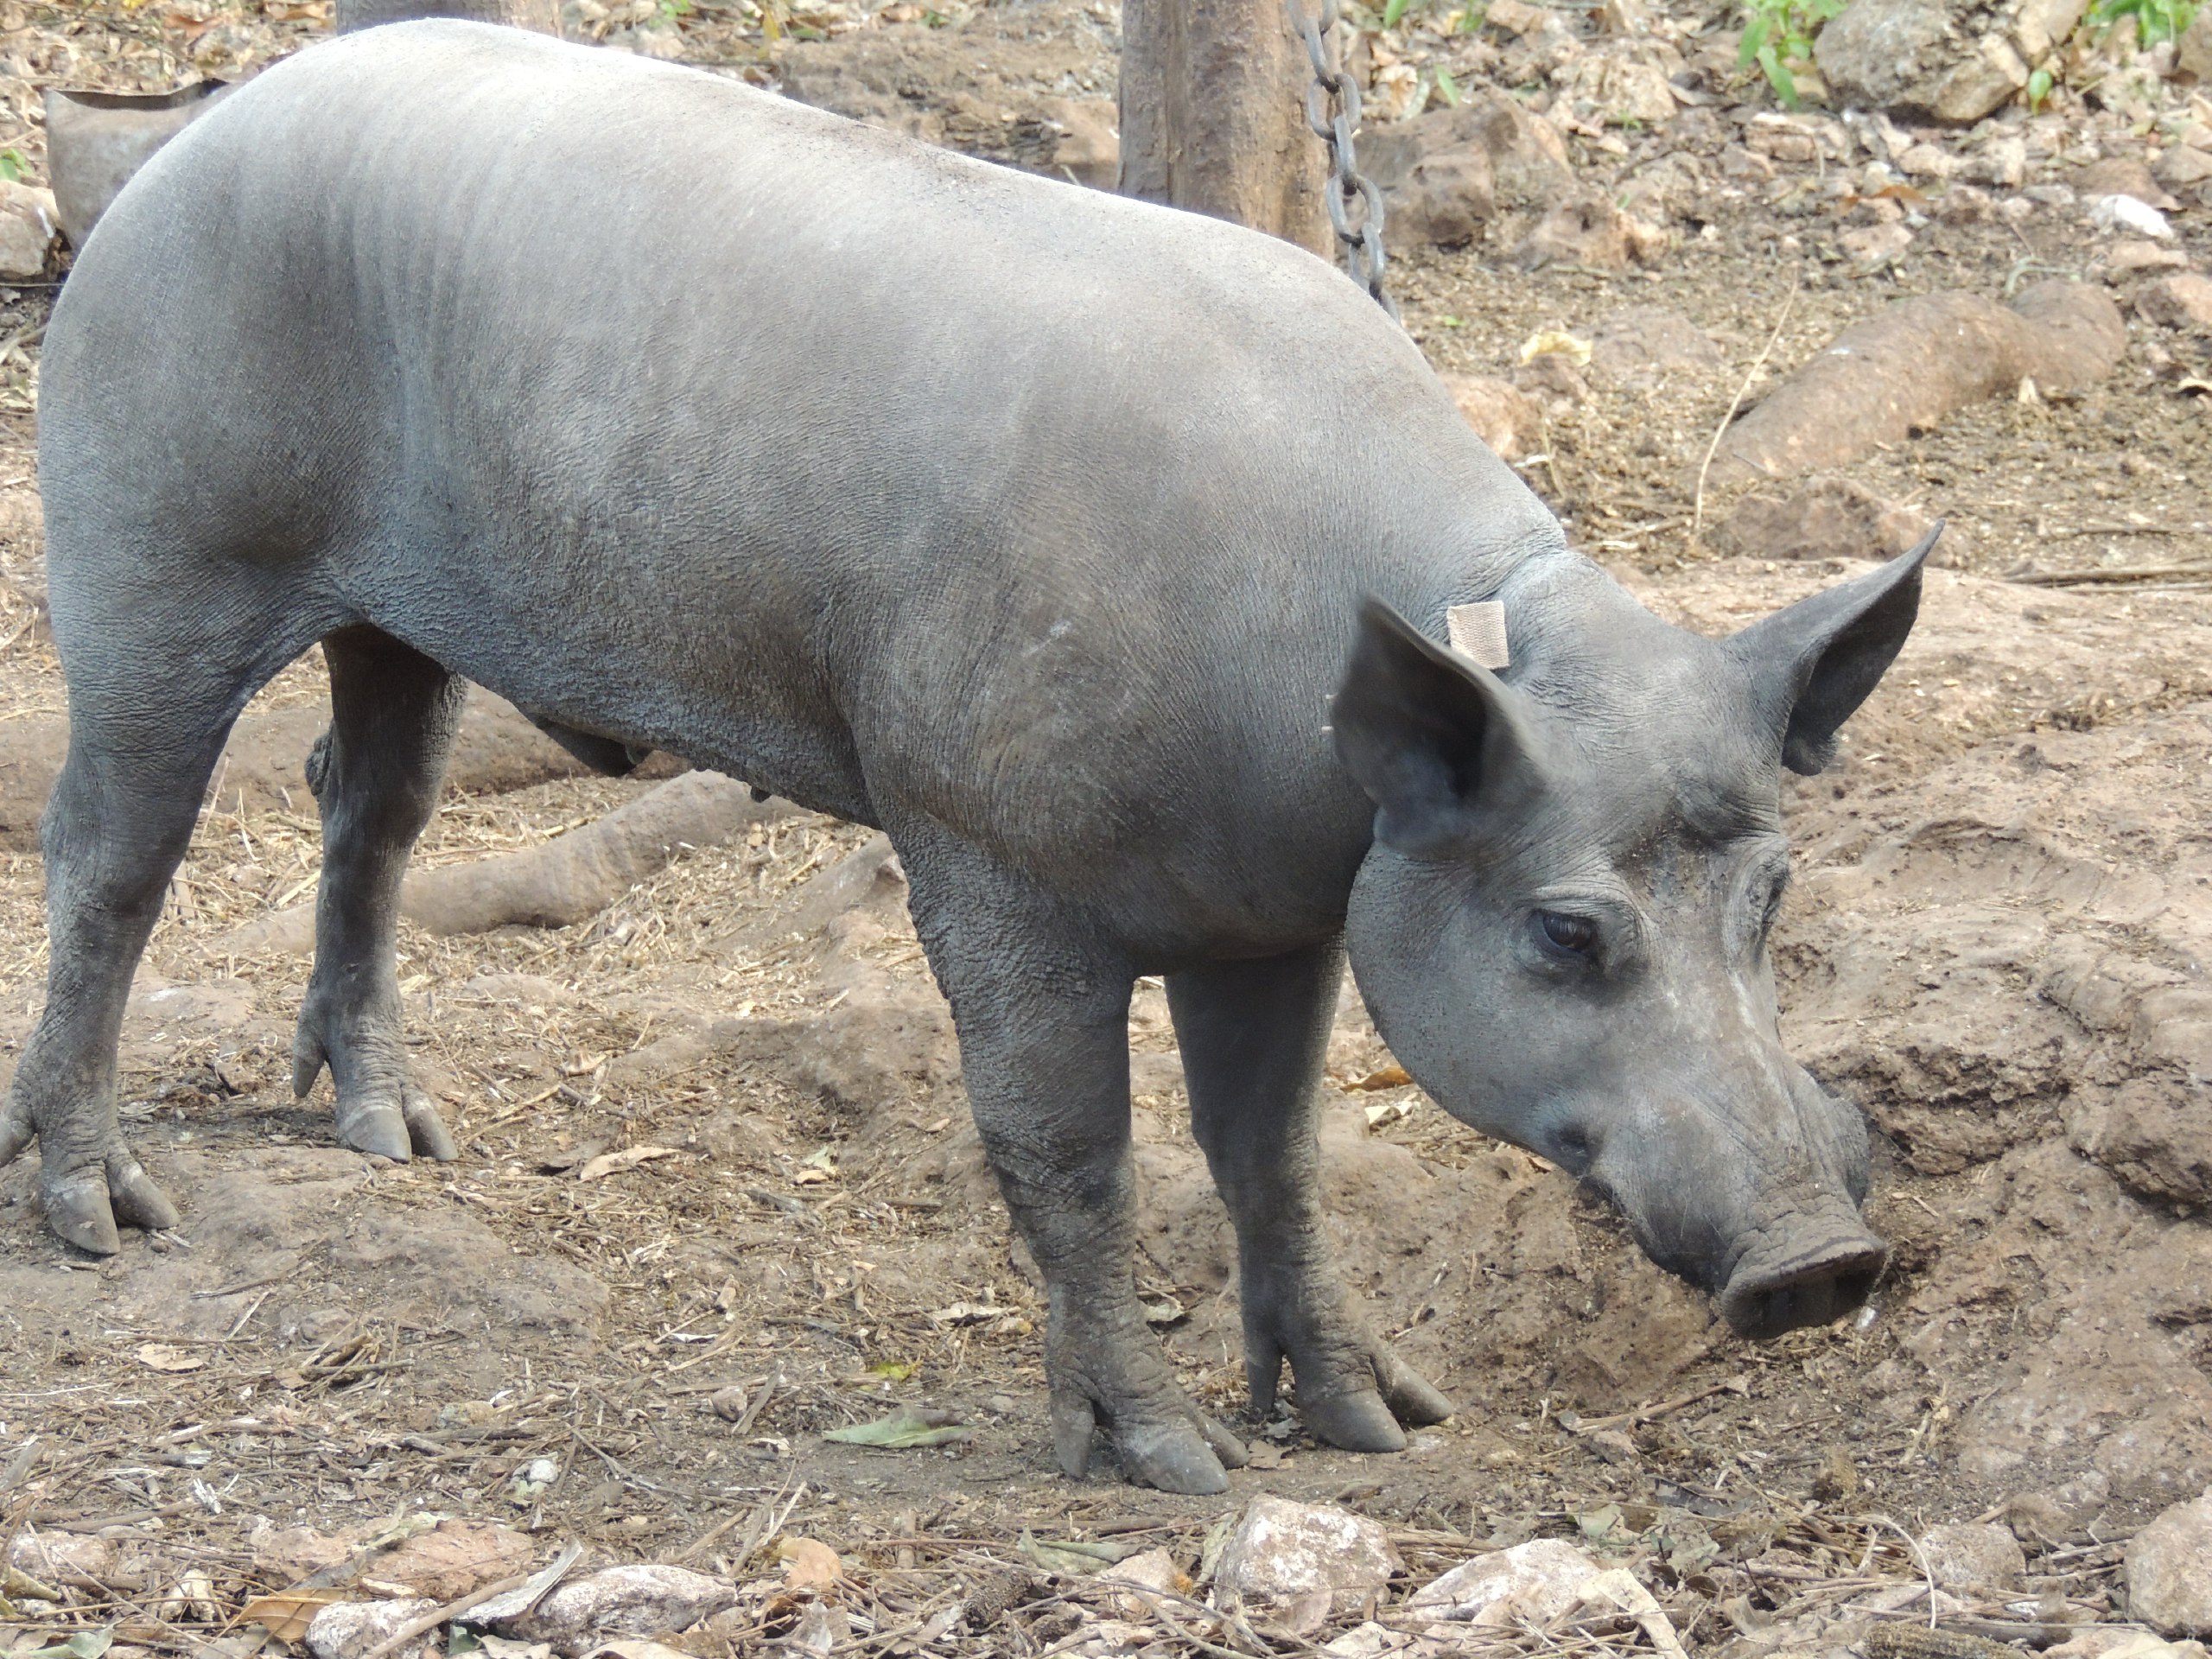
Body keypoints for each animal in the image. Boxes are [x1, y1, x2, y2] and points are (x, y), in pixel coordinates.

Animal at [0, 22, 1929, 1503]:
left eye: (1775, 895)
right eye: (1567, 932)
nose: (1825, 1259)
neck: (1301, 735)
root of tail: (186, 141)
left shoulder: (1281, 916)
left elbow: (1273, 1153)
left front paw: (1377, 1429)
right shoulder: (983, 852)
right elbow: (1073, 1159)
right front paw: (1168, 1467)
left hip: (395, 622)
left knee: (372, 808)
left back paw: (398, 1141)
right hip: (152, 542)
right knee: (113, 852)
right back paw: (105, 1217)